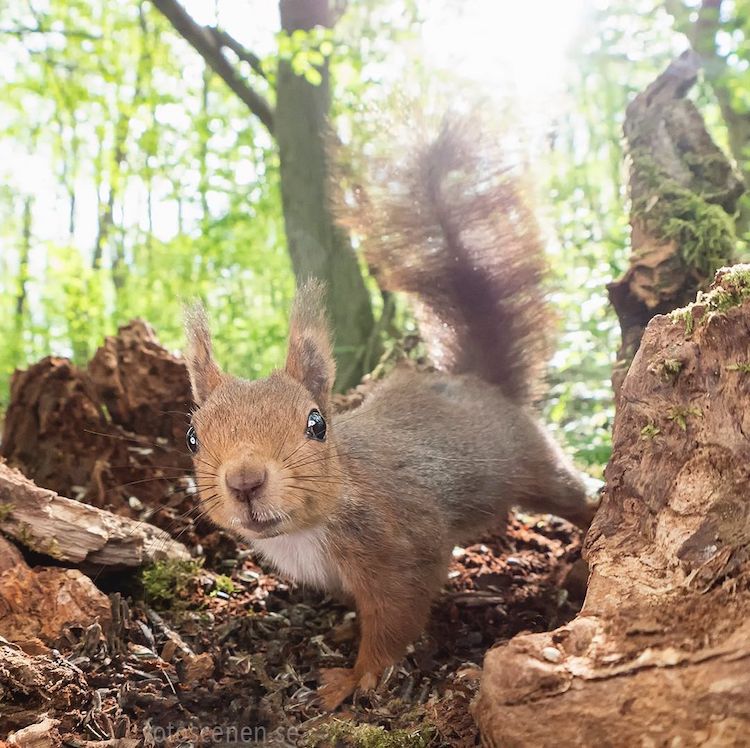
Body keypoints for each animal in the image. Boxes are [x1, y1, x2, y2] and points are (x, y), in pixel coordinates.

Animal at [183, 114, 595, 710]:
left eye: (317, 424)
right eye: (192, 438)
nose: (244, 480)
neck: (304, 532)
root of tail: (477, 384)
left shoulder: (405, 544)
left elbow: (394, 619)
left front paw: (357, 678)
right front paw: (343, 632)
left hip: (535, 463)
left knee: (574, 494)